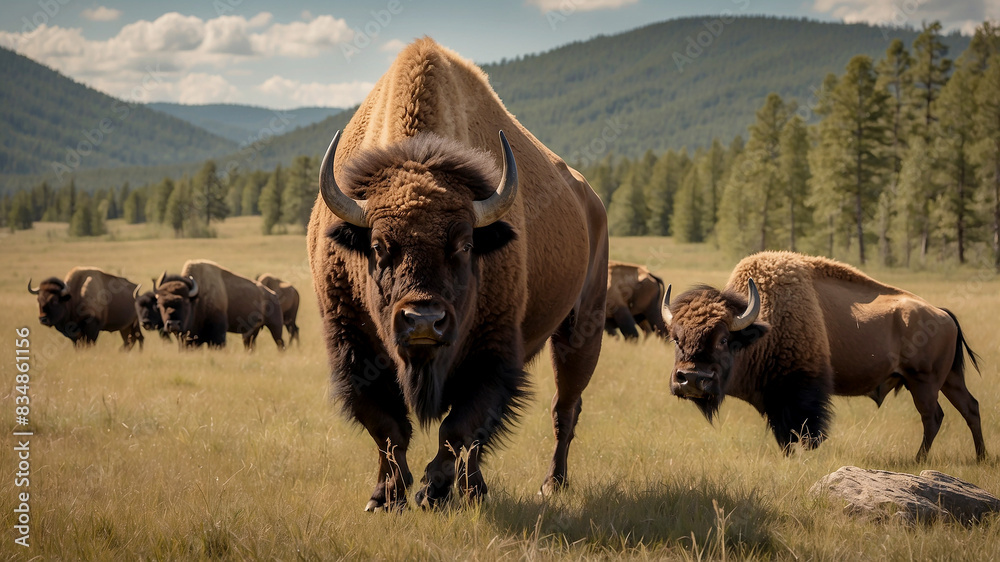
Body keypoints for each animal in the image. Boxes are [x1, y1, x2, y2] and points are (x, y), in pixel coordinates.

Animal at [155, 260, 285, 351]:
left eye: (185, 302)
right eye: (160, 304)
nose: (173, 324)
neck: (198, 297)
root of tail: (273, 294)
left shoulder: (217, 332)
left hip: (275, 326)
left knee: (280, 343)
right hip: (252, 331)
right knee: (250, 345)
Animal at [307, 38, 608, 511]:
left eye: (465, 245)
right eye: (378, 247)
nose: (423, 322)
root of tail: (589, 200)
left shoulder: (492, 352)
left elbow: (458, 427)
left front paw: (432, 490)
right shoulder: (353, 348)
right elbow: (387, 427)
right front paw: (385, 497)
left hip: (581, 330)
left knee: (565, 409)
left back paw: (549, 483)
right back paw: (475, 488)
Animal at [662, 251, 984, 461]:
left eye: (724, 340)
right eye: (676, 338)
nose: (692, 379)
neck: (763, 326)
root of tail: (943, 314)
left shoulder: (802, 392)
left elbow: (804, 430)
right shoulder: (774, 399)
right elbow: (784, 435)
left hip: (924, 382)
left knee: (933, 416)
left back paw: (920, 460)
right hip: (950, 380)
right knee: (970, 408)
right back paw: (980, 456)